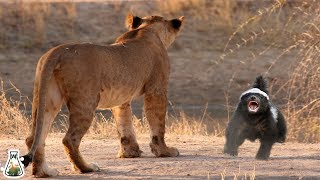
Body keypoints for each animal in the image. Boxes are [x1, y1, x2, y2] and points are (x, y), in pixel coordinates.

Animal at [21, 14, 185, 177]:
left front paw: (130, 152)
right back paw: (87, 168)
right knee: (69, 140)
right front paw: (165, 151)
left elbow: (124, 123)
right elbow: (158, 123)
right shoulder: (157, 90)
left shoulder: (121, 99)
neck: (147, 28)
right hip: (86, 101)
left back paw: (44, 172)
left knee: (34, 138)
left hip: (47, 99)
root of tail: (58, 51)